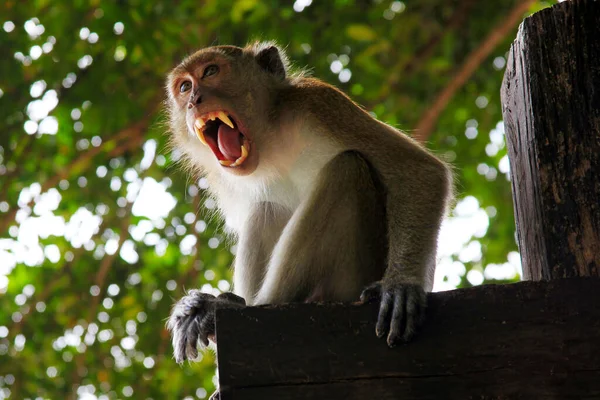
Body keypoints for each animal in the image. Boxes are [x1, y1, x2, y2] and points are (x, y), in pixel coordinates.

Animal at [166, 41, 452, 390]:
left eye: (210, 71)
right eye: (184, 87)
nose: (193, 99)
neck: (270, 139)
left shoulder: (318, 103)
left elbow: (419, 170)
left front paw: (401, 285)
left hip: (350, 280)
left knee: (346, 169)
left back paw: (245, 304)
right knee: (266, 207)